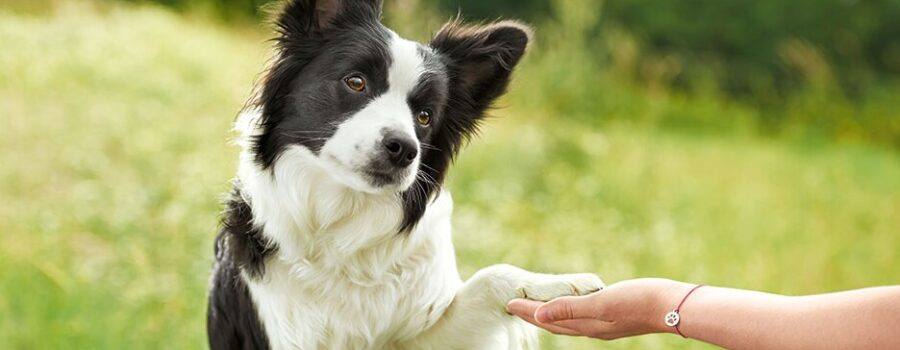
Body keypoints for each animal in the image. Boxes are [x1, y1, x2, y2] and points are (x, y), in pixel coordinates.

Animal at [207, 1, 604, 348]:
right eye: (356, 82)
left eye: (425, 116)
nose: (403, 149)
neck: (342, 222)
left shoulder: (423, 336)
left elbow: (493, 274)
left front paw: (556, 284)